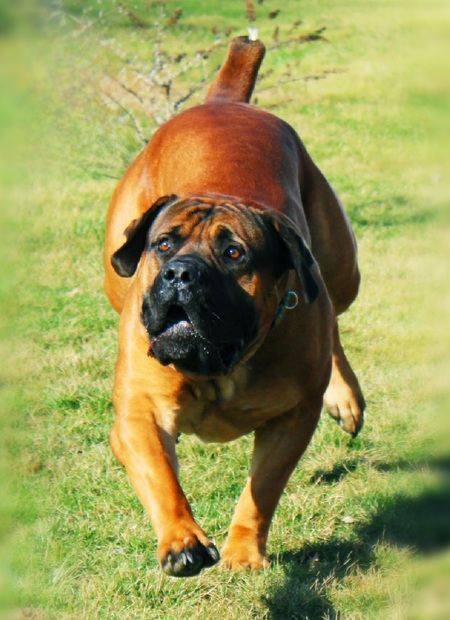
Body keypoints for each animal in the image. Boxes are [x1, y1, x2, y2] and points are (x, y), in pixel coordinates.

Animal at [103, 35, 364, 576]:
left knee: (335, 321)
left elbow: (261, 490)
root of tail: (225, 102)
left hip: (341, 269)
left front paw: (244, 553)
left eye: (234, 254)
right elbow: (160, 476)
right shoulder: (138, 414)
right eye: (164, 244)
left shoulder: (292, 420)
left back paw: (345, 397)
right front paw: (182, 540)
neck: (221, 369)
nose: (181, 273)